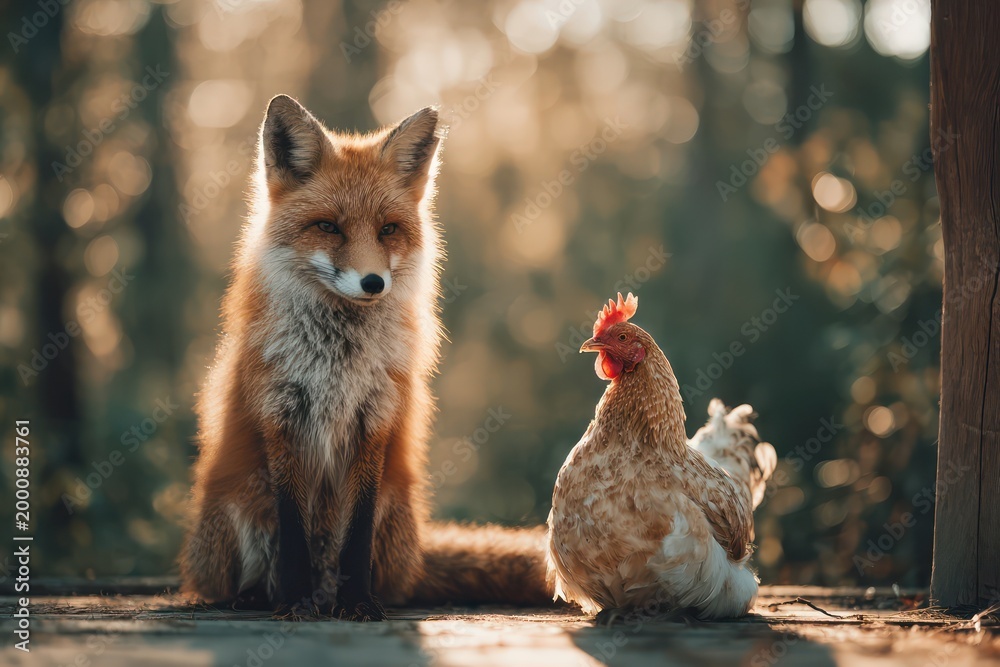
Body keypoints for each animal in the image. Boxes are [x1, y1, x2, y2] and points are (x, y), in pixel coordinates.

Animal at [180, 95, 551, 619]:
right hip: (239, 507)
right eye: (328, 227)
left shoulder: (375, 418)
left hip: (394, 516)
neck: (339, 359)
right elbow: (292, 530)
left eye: (388, 230)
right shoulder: (282, 418)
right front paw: (293, 602)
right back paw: (257, 597)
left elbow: (356, 529)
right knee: (238, 578)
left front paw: (357, 603)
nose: (373, 282)